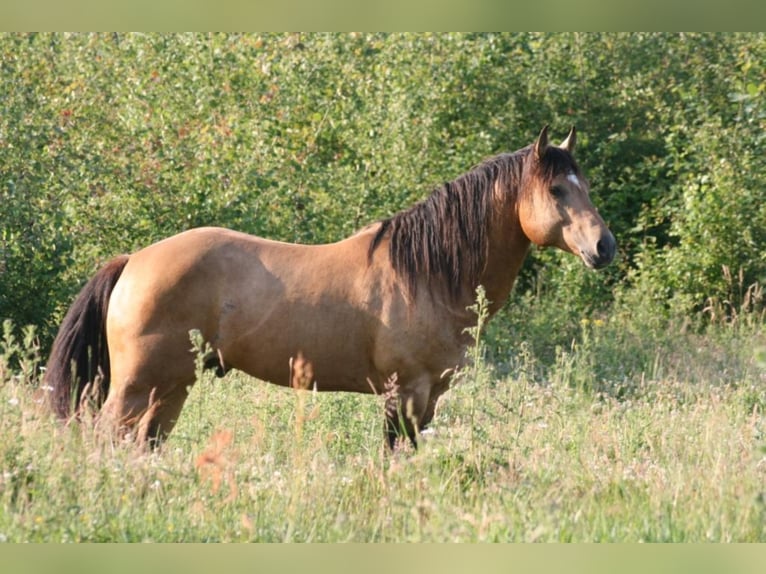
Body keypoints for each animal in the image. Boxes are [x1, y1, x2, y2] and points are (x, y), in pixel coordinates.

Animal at [43, 126, 616, 450]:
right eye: (557, 189)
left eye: (585, 185)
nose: (604, 246)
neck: (428, 275)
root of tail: (133, 260)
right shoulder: (405, 394)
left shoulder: (429, 397)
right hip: (138, 386)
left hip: (172, 386)